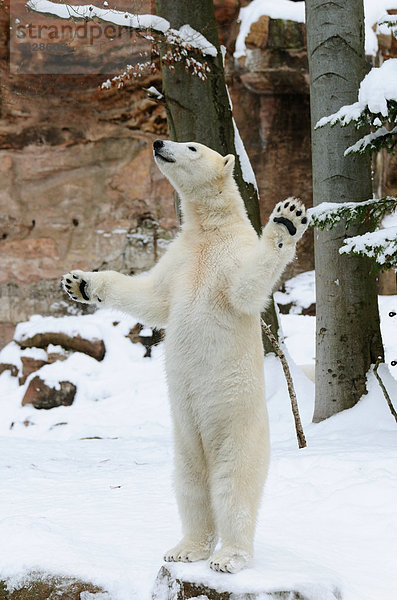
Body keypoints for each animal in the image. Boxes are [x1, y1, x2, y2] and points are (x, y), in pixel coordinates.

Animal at [62, 138, 308, 576]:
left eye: (192, 146)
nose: (159, 142)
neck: (210, 231)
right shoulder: (180, 260)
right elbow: (152, 299)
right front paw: (81, 283)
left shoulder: (232, 255)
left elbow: (246, 289)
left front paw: (287, 219)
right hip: (185, 431)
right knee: (190, 483)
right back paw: (187, 548)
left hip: (238, 422)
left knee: (234, 484)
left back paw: (230, 556)